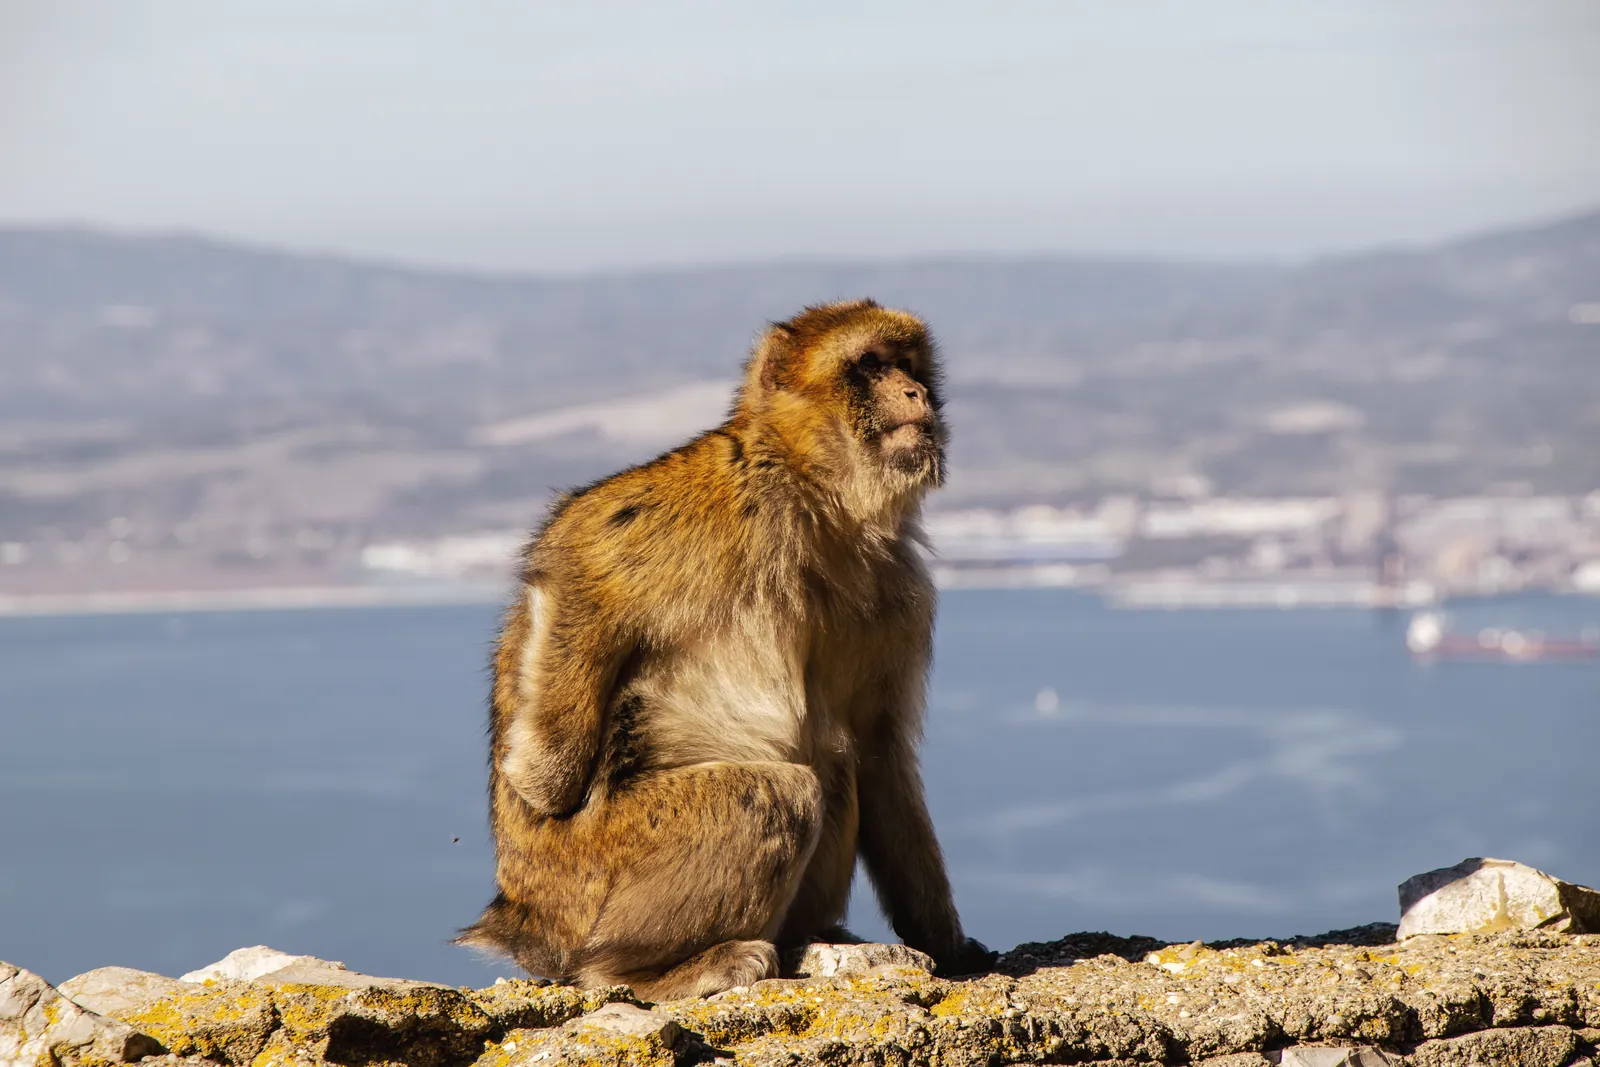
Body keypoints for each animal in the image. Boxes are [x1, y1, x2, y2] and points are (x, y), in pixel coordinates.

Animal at [457, 299, 994, 1000]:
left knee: (834, 762)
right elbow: (580, 548)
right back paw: (653, 972)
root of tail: (523, 920)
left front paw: (945, 940)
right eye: (871, 365)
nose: (915, 393)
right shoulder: (722, 495)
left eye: (908, 365)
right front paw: (545, 776)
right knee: (778, 795)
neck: (818, 499)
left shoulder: (897, 593)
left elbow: (879, 749)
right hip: (593, 884)